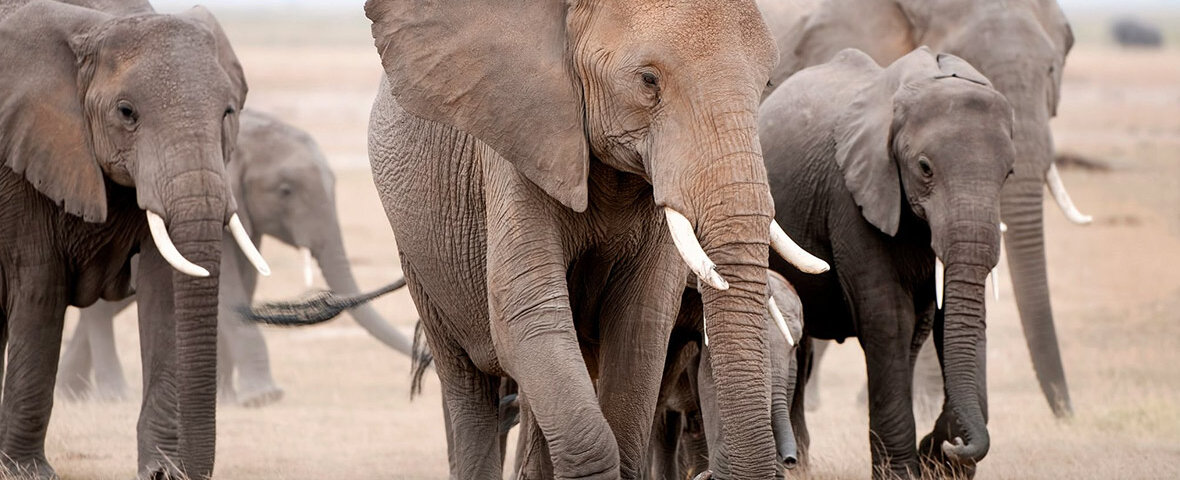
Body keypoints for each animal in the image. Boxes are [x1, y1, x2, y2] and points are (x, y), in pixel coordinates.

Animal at [0, 0, 264, 478]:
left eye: (228, 113)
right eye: (126, 112)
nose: (190, 470)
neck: (97, 24)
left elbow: (164, 290)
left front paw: (161, 471)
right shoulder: (16, 167)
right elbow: (39, 290)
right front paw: (28, 472)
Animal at [54, 109, 416, 407]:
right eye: (286, 191)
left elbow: (244, 284)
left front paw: (226, 399)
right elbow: (226, 288)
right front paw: (263, 398)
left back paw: (71, 394)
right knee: (99, 311)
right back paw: (111, 395)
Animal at [361, 0, 829, 477]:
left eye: (767, 83)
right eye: (648, 80)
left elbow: (640, 323)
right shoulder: (518, 146)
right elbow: (526, 317)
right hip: (418, 257)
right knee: (468, 387)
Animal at [760, 47, 1016, 478]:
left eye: (1009, 173)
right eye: (925, 168)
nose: (953, 446)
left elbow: (942, 322)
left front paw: (937, 459)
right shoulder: (851, 195)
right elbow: (889, 319)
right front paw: (906, 471)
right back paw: (795, 467)